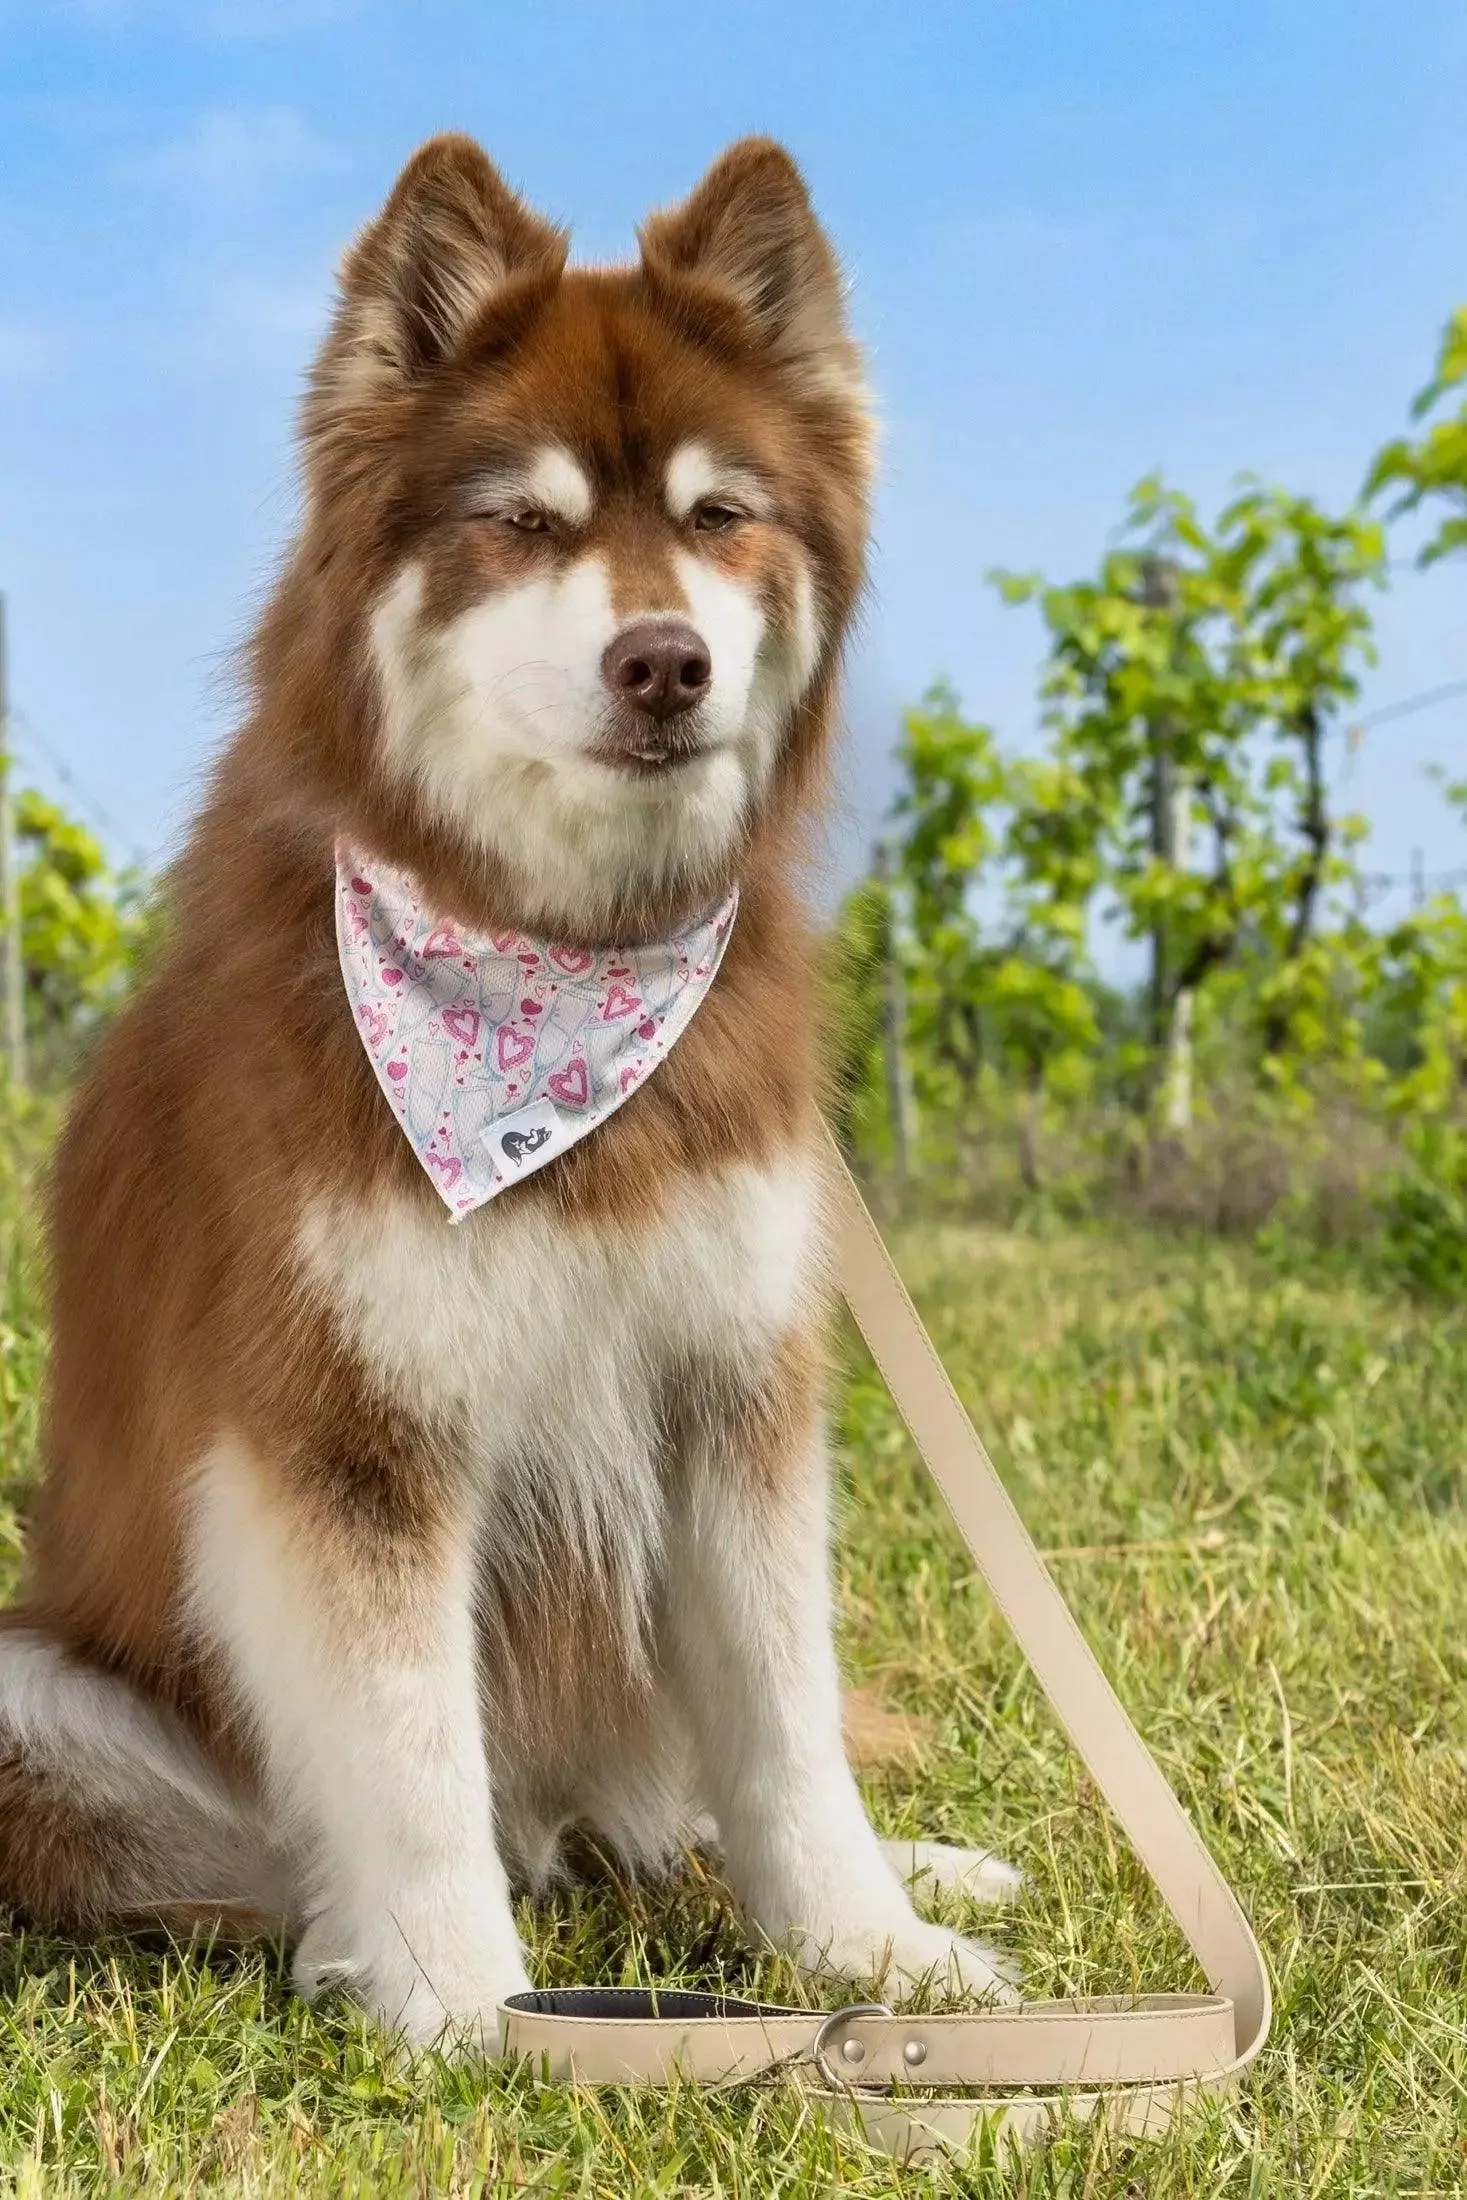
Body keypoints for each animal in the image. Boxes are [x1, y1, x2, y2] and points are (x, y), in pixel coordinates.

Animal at [0, 141, 1016, 2041]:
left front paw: (863, 1952)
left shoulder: (727, 1387)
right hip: (49, 1691)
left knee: (674, 1811)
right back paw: (352, 1947)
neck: (553, 981)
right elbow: (409, 1755)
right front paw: (472, 2015)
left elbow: (784, 1727)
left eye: (717, 516)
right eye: (526, 524)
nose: (662, 662)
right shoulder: (348, 1422)